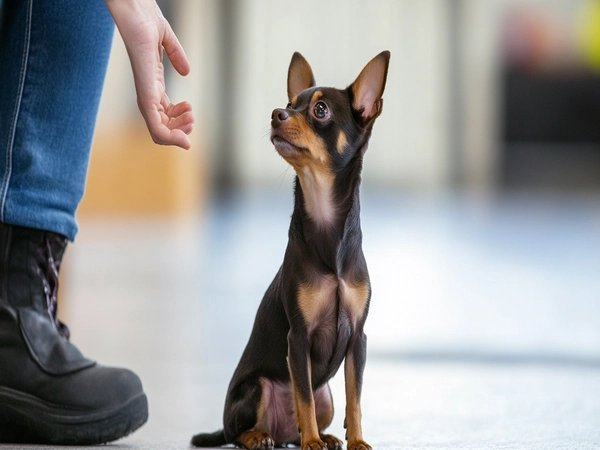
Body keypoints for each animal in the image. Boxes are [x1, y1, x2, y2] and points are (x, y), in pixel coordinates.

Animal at [191, 49, 390, 450]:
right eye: (289, 104)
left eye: (320, 110)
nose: (275, 114)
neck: (328, 228)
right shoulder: (297, 339)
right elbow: (303, 396)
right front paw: (312, 441)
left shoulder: (357, 341)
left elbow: (355, 398)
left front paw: (356, 440)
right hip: (256, 389)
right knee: (238, 432)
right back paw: (264, 436)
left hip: (328, 396)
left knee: (306, 417)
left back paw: (323, 436)